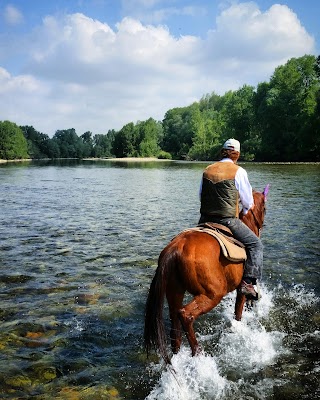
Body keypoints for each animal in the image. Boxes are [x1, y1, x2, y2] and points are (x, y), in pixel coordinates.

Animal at [144, 186, 268, 364]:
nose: (262, 226)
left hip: (175, 292)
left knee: (175, 326)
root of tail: (176, 247)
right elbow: (238, 312)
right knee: (186, 315)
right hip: (212, 294)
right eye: (265, 208)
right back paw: (198, 353)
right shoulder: (241, 289)